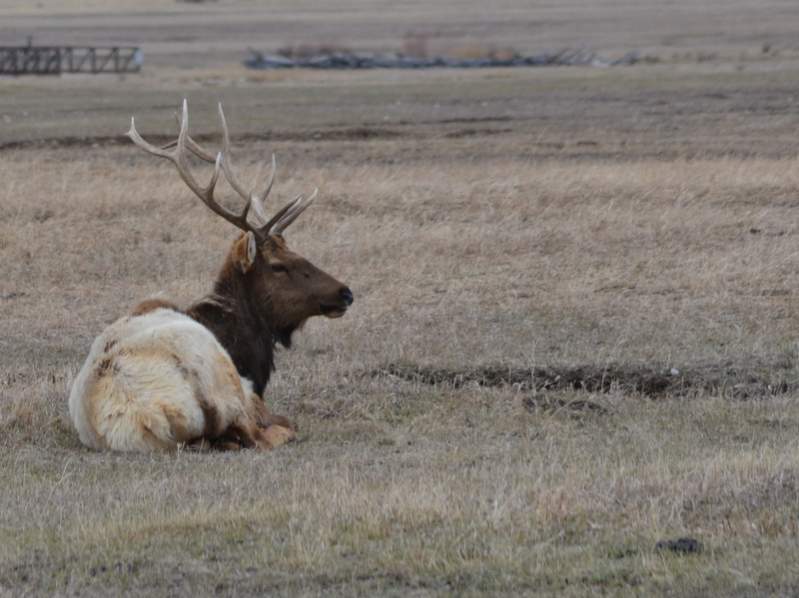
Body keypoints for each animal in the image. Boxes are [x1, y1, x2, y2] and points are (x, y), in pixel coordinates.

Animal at [69, 99, 354, 454]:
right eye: (278, 265)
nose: (345, 292)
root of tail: (148, 416)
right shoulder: (248, 386)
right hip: (225, 386)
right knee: (259, 434)